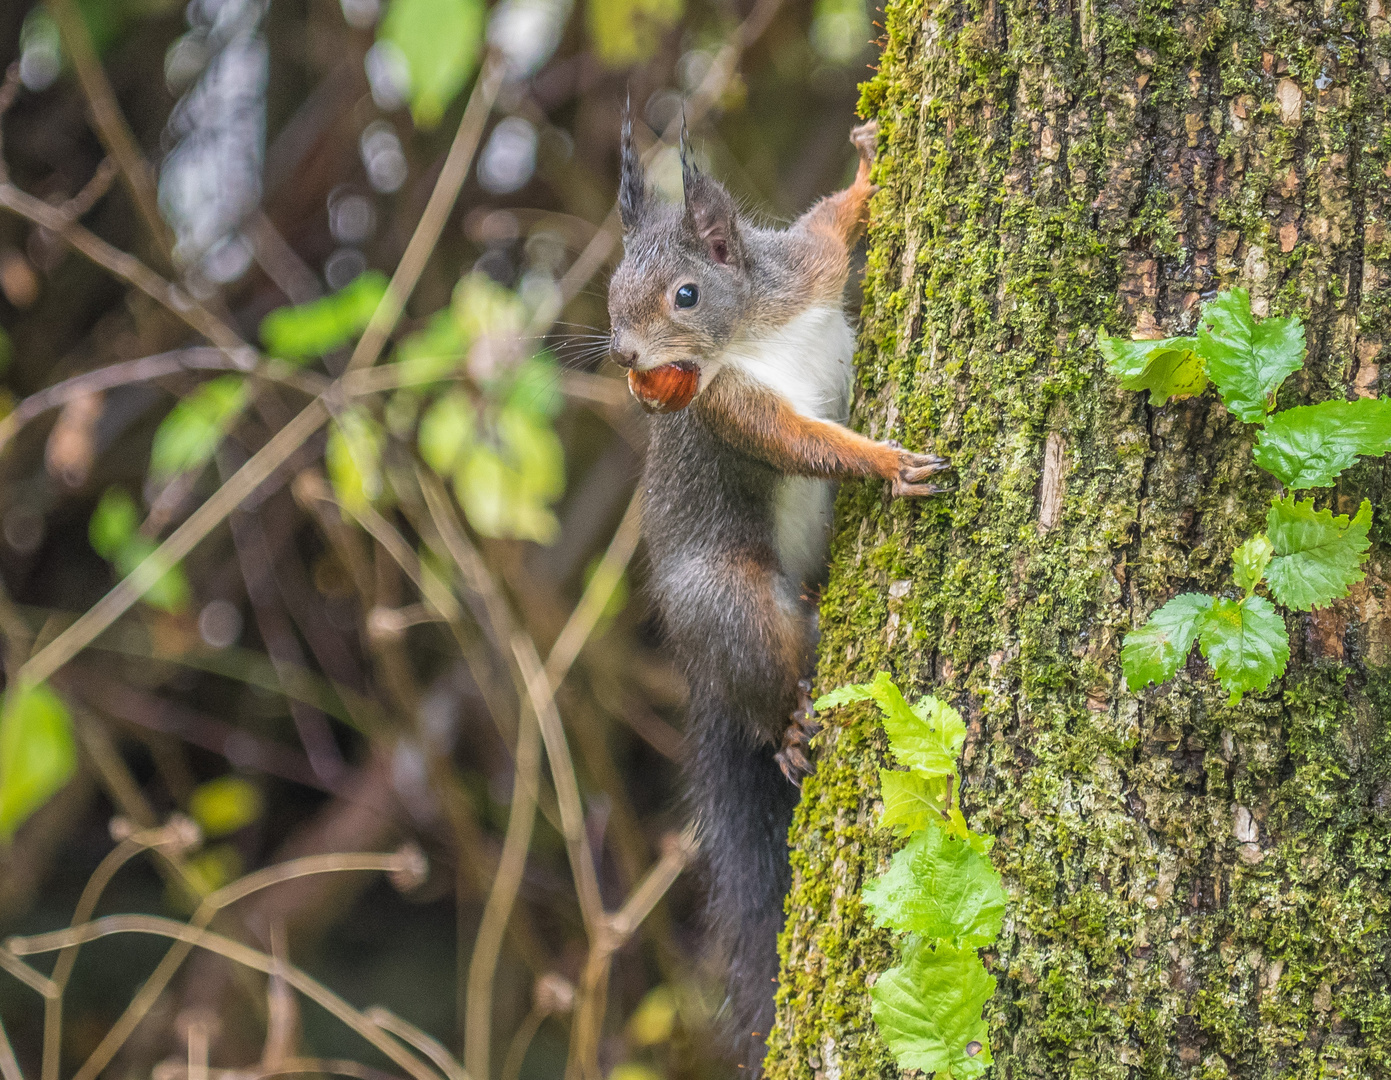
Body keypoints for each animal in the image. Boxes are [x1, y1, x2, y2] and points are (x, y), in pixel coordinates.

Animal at [606, 116, 945, 1063]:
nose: (625, 357)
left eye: (685, 294)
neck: (750, 331)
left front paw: (867, 167)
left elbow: (833, 222)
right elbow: (803, 443)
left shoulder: (807, 271)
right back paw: (787, 731)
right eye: (611, 293)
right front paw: (881, 462)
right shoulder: (732, 409)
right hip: (732, 601)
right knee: (765, 678)